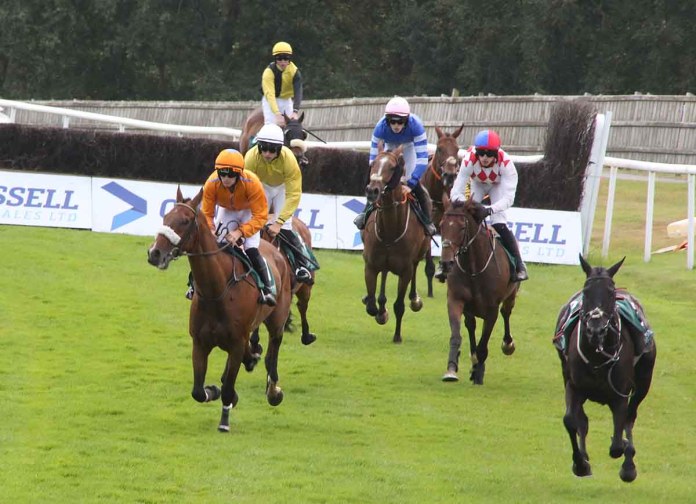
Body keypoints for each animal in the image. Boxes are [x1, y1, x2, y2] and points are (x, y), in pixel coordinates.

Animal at [146, 187, 292, 432]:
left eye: (185, 221)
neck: (217, 290)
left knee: (274, 351)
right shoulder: (200, 343)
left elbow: (228, 387)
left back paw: (273, 391)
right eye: (165, 217)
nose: (154, 253)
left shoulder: (235, 344)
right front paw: (212, 390)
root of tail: (275, 250)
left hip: (277, 319)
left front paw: (224, 420)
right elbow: (198, 391)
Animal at [361, 146, 430, 343]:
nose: (372, 190)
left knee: (416, 267)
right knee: (384, 274)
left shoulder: (405, 270)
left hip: (420, 253)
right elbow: (371, 305)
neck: (390, 230)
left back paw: (414, 299)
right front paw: (380, 311)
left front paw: (397, 335)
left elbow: (399, 305)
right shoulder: (370, 265)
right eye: (374, 163)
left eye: (392, 167)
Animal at [439, 196, 519, 384]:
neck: (473, 268)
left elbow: (484, 344)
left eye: (462, 227)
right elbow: (456, 335)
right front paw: (451, 369)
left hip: (511, 295)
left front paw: (479, 374)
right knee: (471, 325)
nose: (446, 263)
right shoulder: (455, 300)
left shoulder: (491, 310)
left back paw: (507, 344)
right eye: (441, 225)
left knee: (506, 313)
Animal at [554, 255, 656, 482]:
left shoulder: (620, 394)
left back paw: (628, 463)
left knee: (630, 418)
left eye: (610, 292)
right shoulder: (573, 386)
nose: (596, 329)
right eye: (586, 291)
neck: (597, 353)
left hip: (644, 381)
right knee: (583, 421)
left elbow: (618, 442)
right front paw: (580, 463)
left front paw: (626, 457)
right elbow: (571, 421)